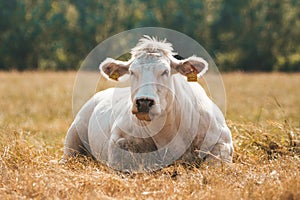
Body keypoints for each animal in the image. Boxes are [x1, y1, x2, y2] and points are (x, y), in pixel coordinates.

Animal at [62, 35, 233, 170]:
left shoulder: (223, 142)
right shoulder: (119, 142)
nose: (144, 102)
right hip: (72, 139)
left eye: (165, 71)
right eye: (132, 71)